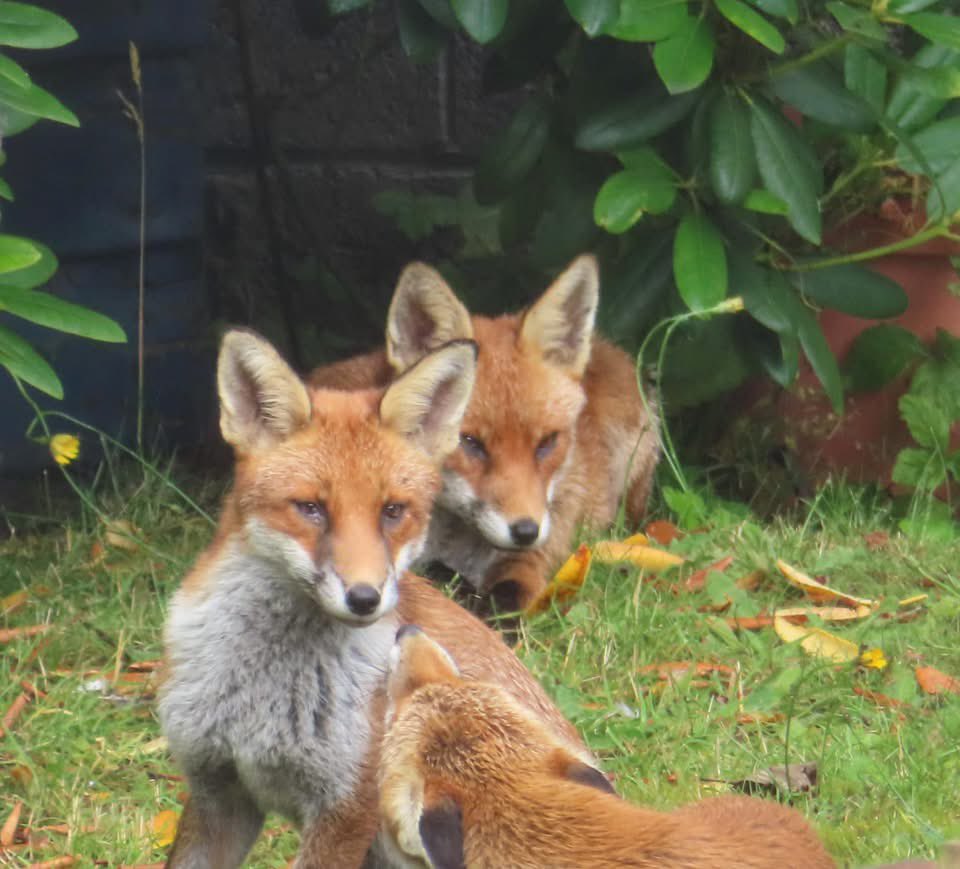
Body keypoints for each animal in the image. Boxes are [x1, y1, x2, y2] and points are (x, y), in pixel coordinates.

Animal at [158, 329, 595, 867]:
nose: (364, 597)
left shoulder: (346, 808)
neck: (263, 694)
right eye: (311, 508)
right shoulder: (217, 791)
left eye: (392, 511)